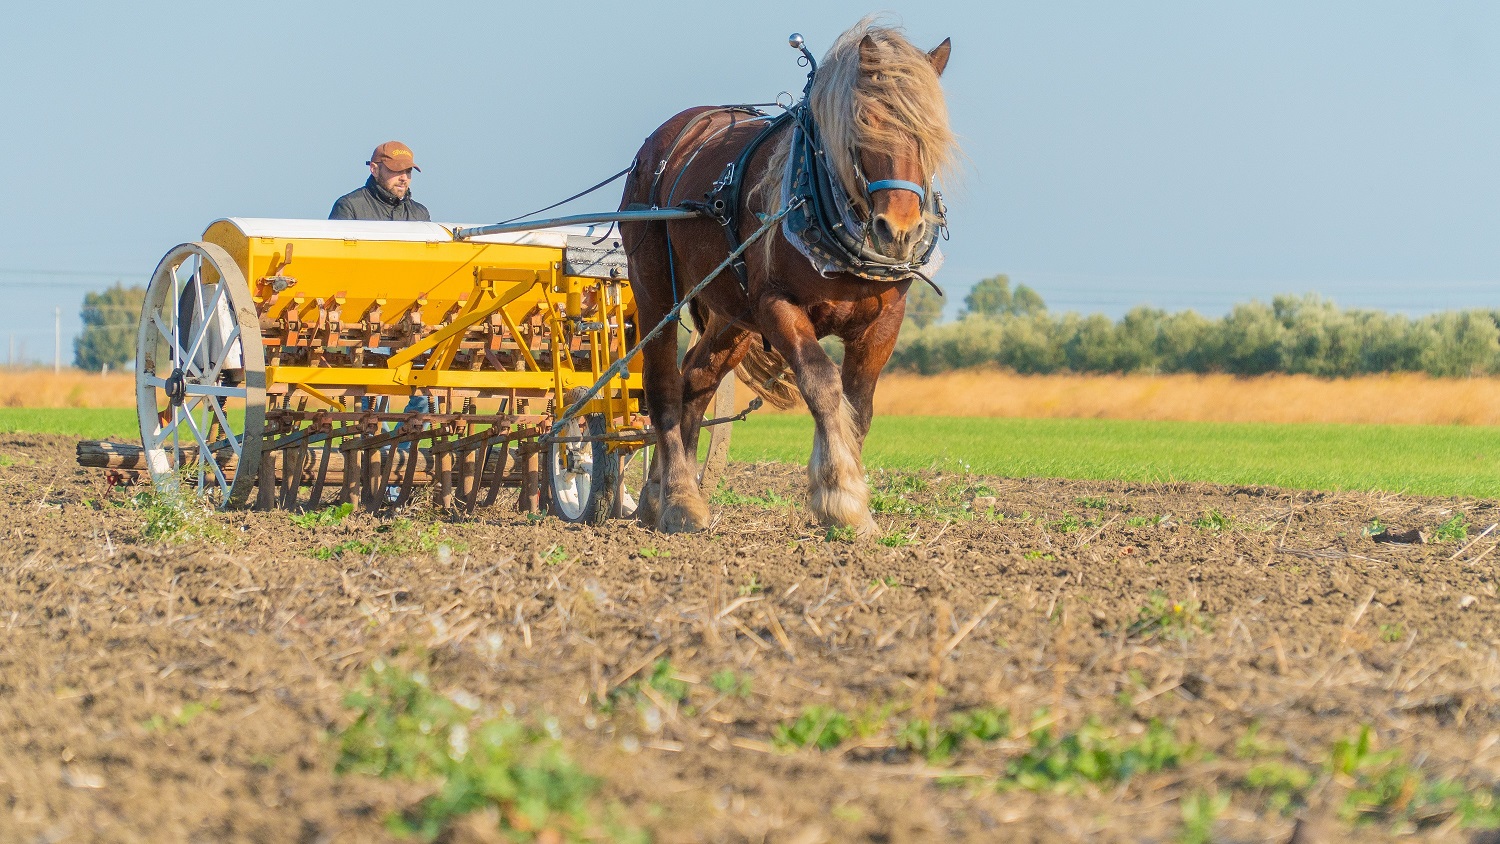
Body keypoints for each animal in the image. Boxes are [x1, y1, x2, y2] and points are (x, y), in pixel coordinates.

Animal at [619, 19, 956, 534]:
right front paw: (840, 495)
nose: (898, 232)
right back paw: (680, 500)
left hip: (731, 313)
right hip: (655, 290)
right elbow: (822, 384)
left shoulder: (884, 321)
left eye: (929, 133)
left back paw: (659, 492)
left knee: (696, 378)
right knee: (663, 386)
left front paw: (846, 498)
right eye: (865, 123)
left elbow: (858, 406)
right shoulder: (777, 305)